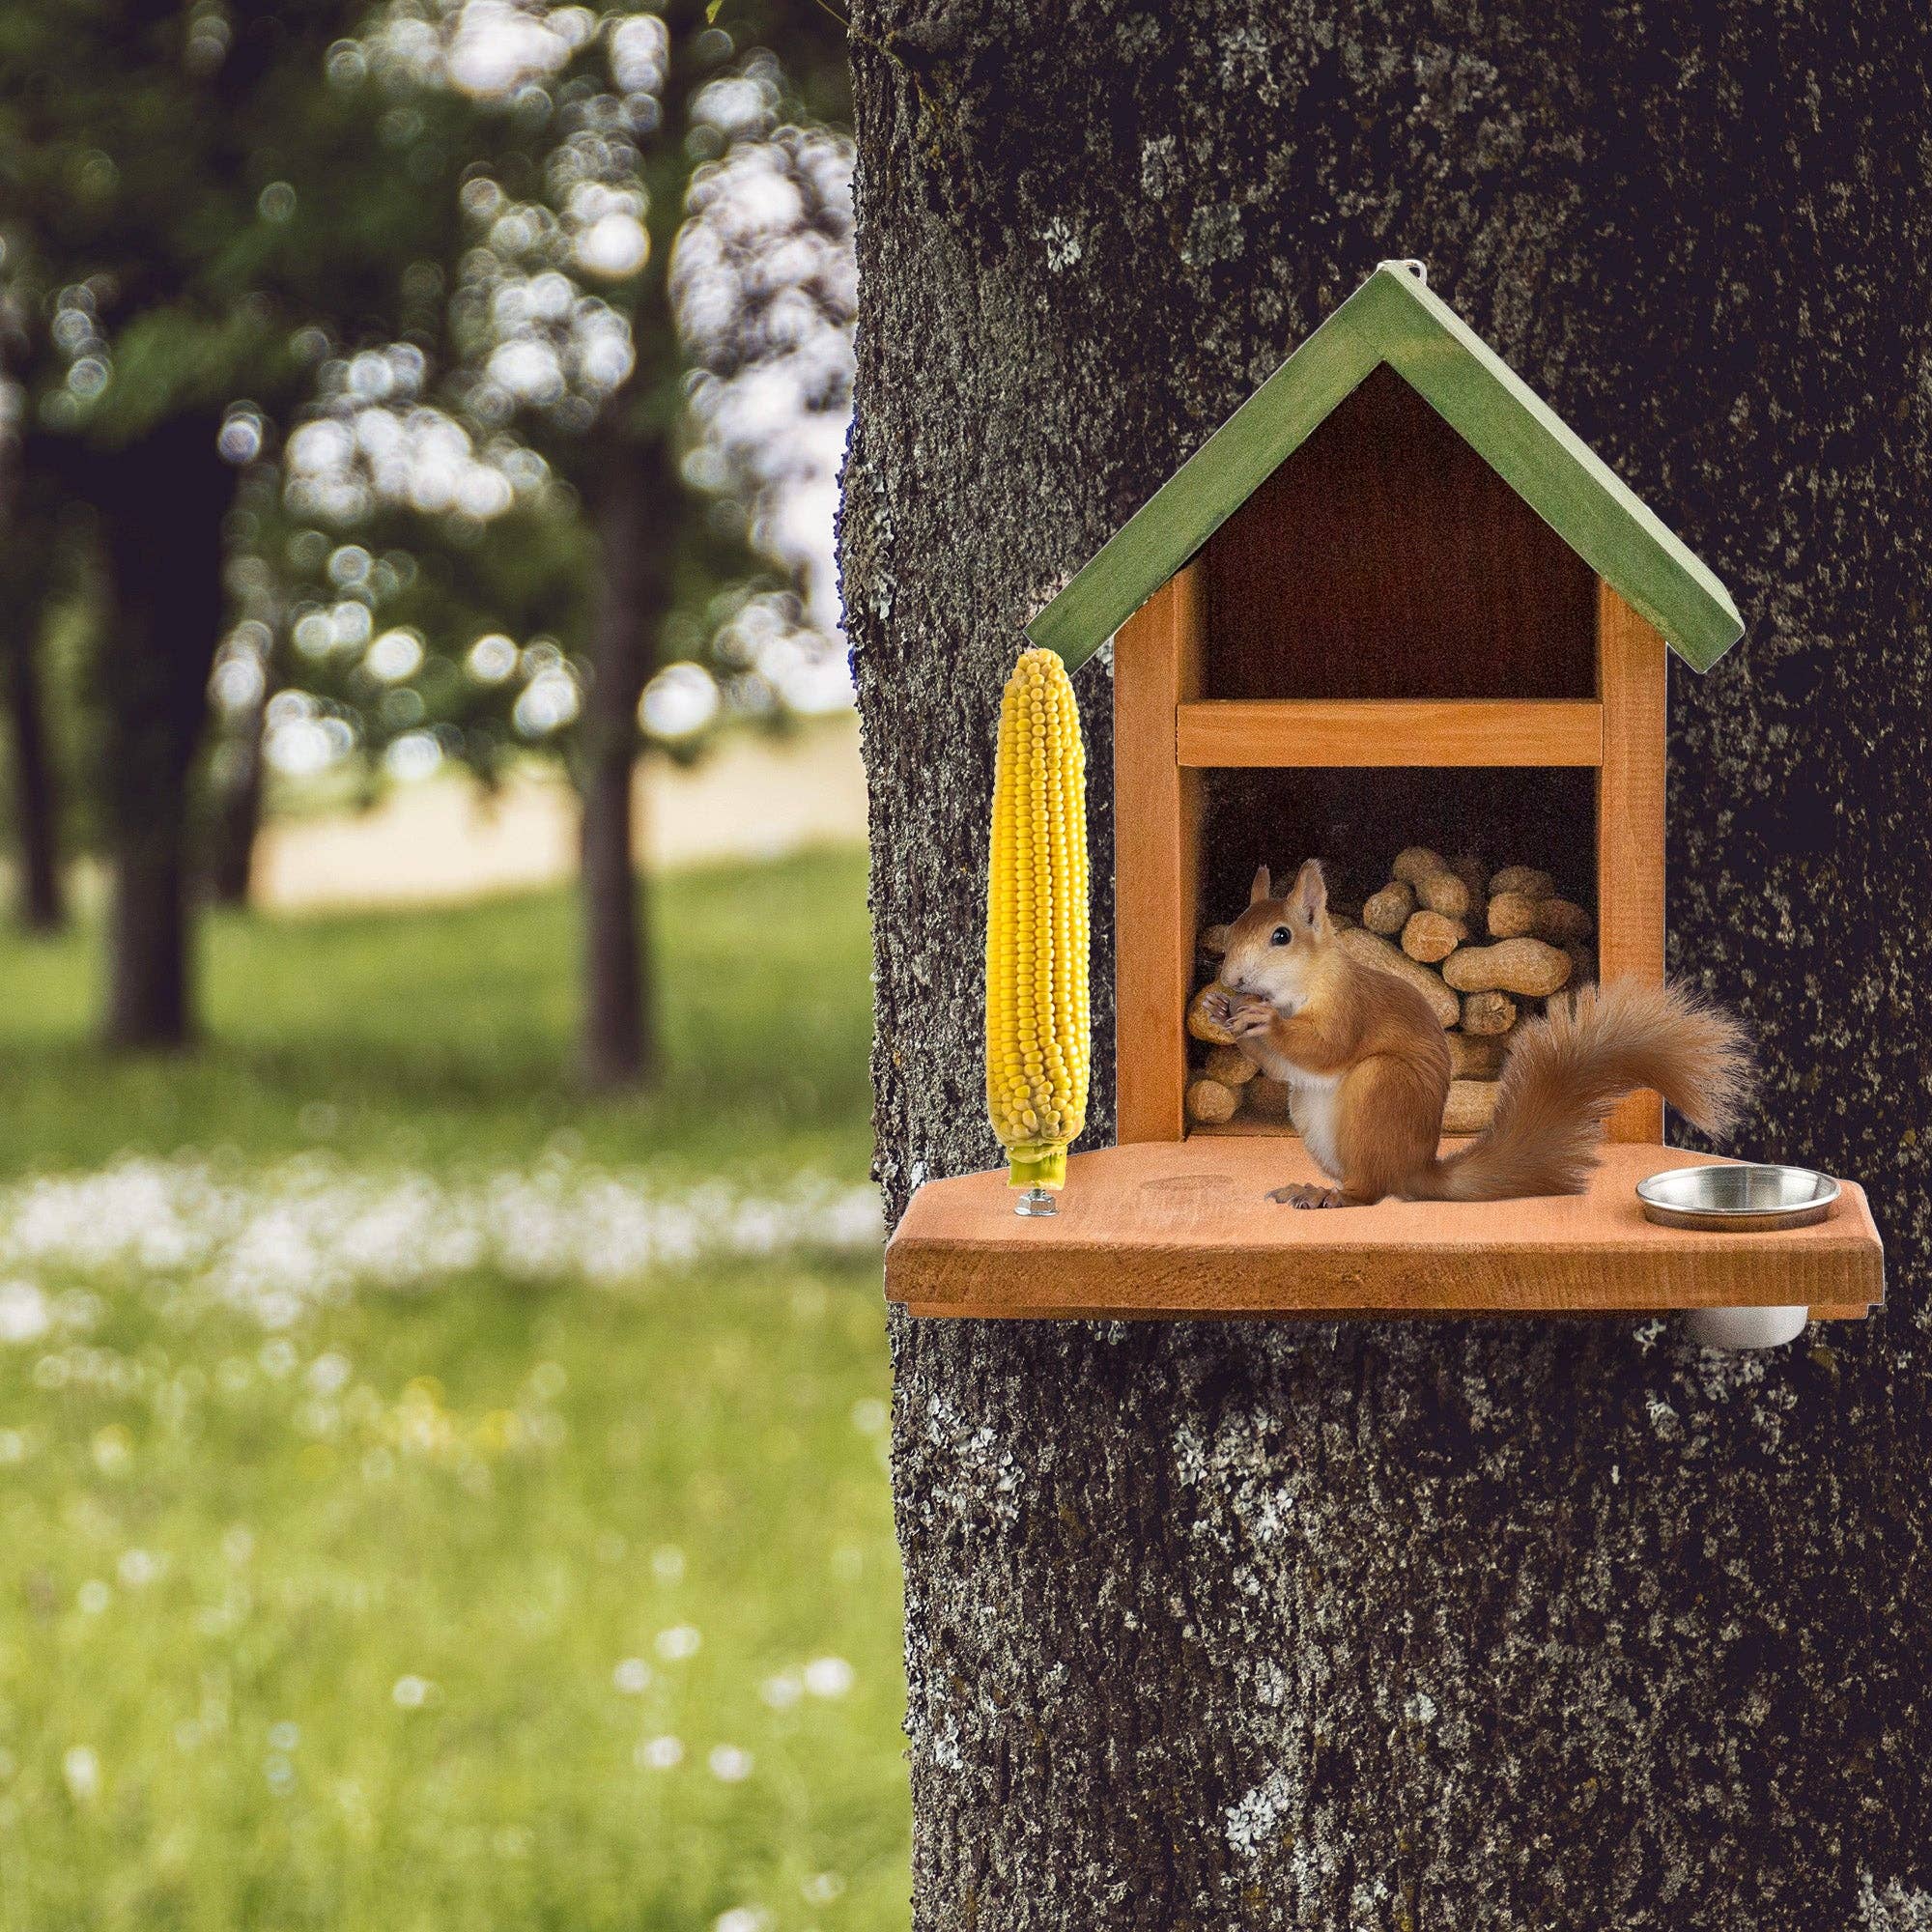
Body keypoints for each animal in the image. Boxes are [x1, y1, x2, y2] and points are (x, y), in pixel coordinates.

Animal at [1200, 859, 1752, 1208]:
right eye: (1235, 927)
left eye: (1281, 936)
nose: (1232, 979)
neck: (1304, 986)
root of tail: (1416, 1168)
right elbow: (1280, 1066)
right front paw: (1218, 1008)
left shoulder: (1350, 1008)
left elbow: (1326, 1047)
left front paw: (1263, 1021)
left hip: (1382, 1087)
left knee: (1372, 1191)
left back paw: (1330, 1195)